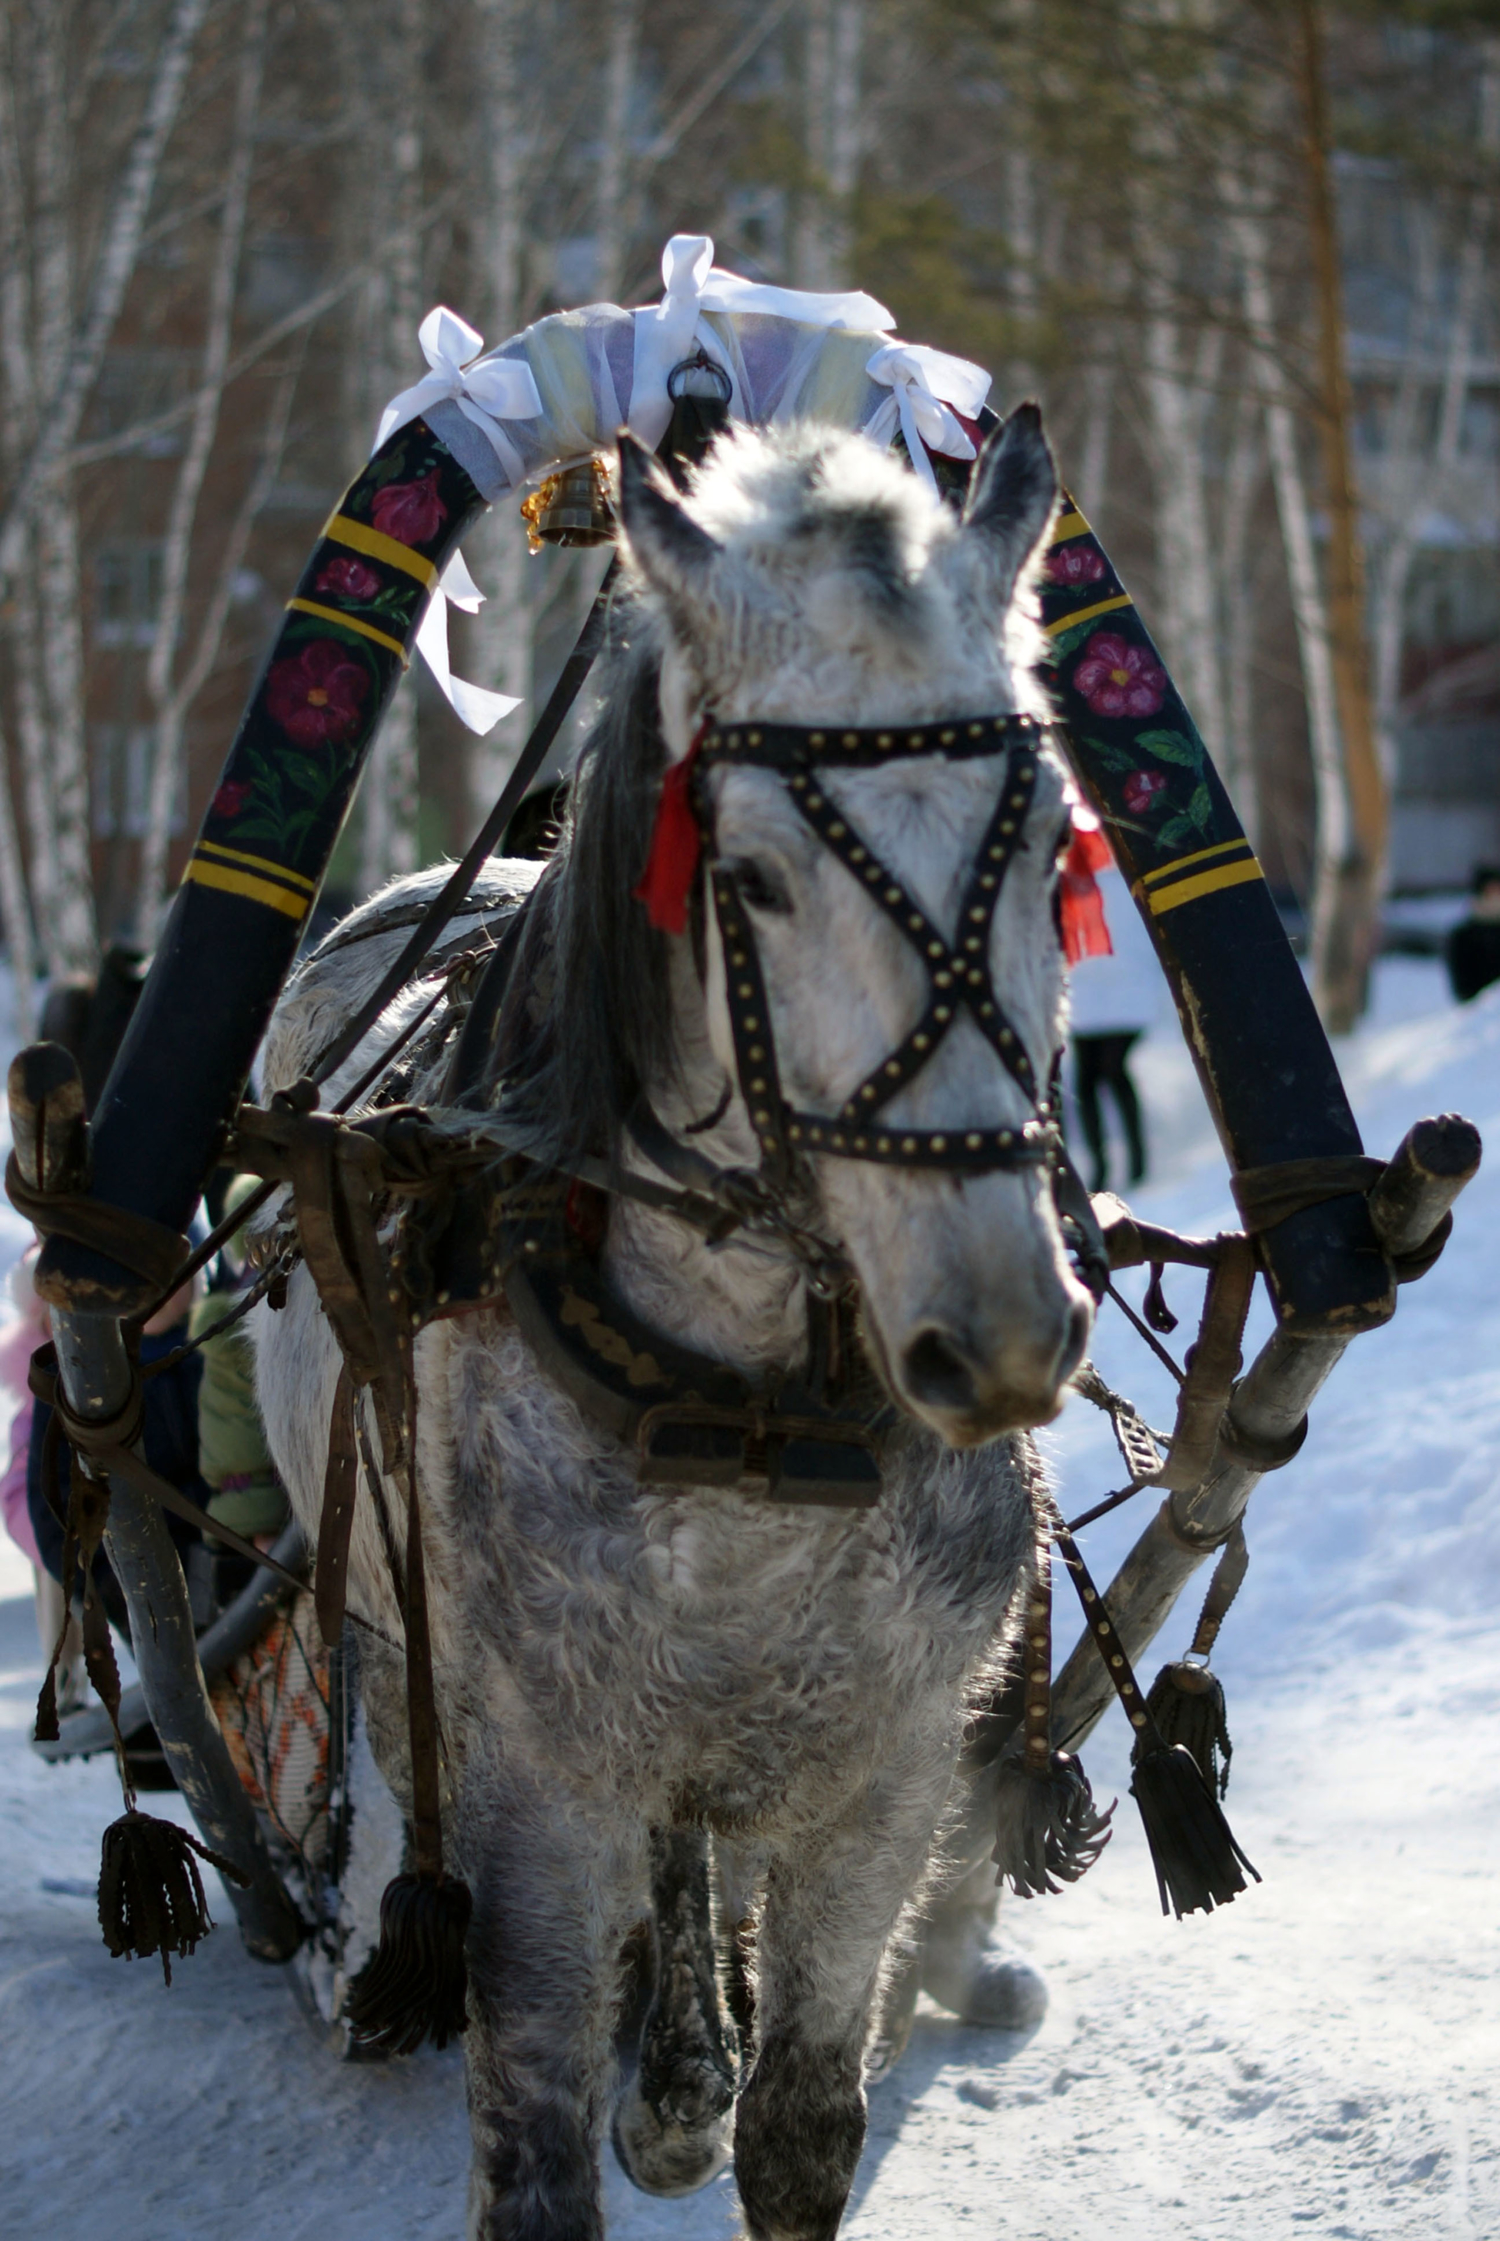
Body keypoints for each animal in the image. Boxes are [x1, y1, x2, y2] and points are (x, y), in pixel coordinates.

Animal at [254, 407, 1089, 2241]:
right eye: (754, 881)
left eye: (1052, 843)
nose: (999, 1331)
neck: (752, 1420)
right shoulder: (539, 1791)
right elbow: (537, 2150)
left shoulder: (889, 1771)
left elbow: (805, 2124)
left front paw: (731, 2095)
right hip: (389, 1641)